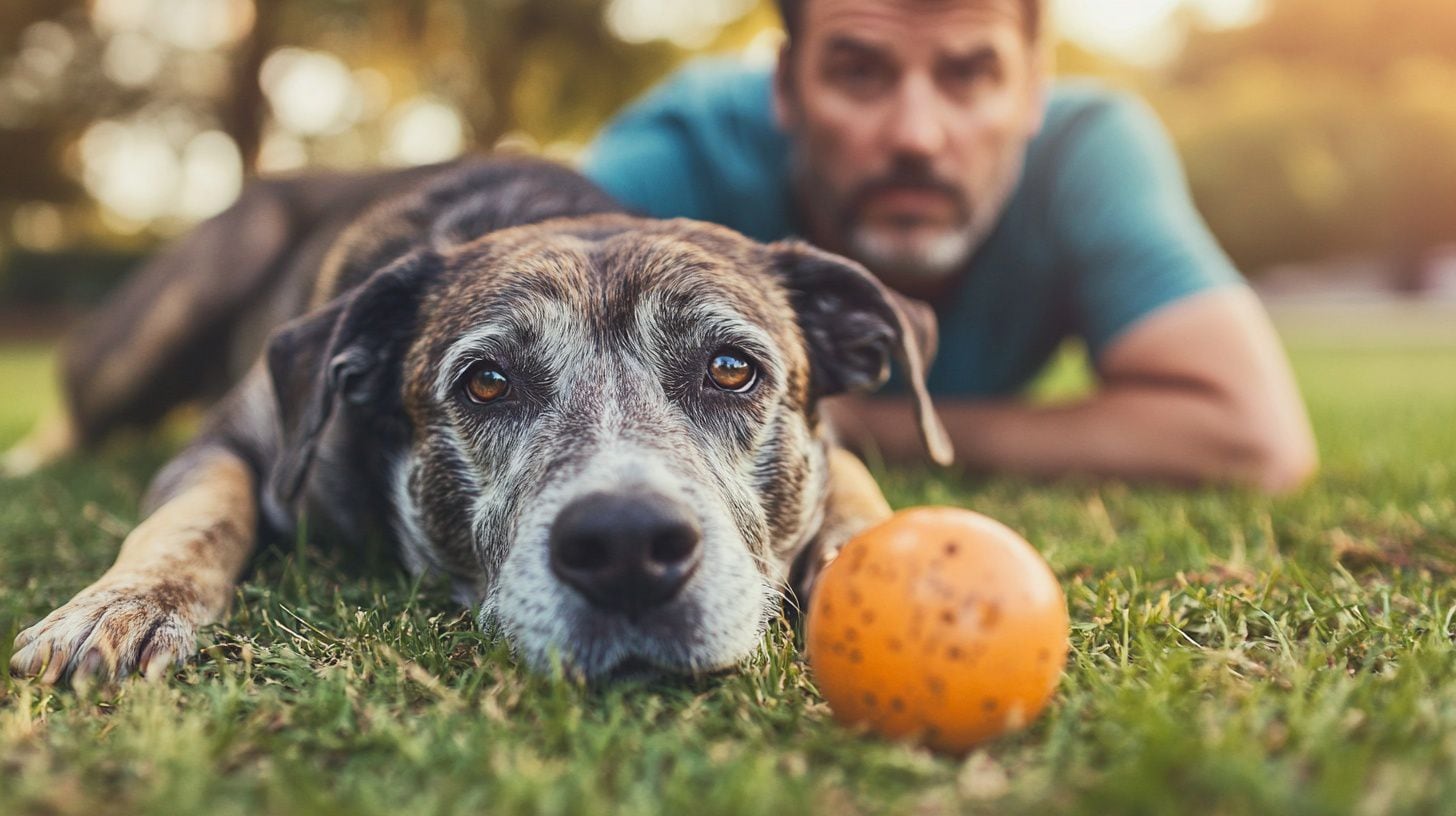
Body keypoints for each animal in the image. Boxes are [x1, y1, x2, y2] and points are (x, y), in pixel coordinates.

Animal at [2, 158, 955, 681]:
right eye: (488, 383)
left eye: (731, 370)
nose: (626, 545)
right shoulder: (234, 440)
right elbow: (197, 515)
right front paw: (119, 606)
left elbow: (859, 494)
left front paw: (878, 566)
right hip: (178, 302)